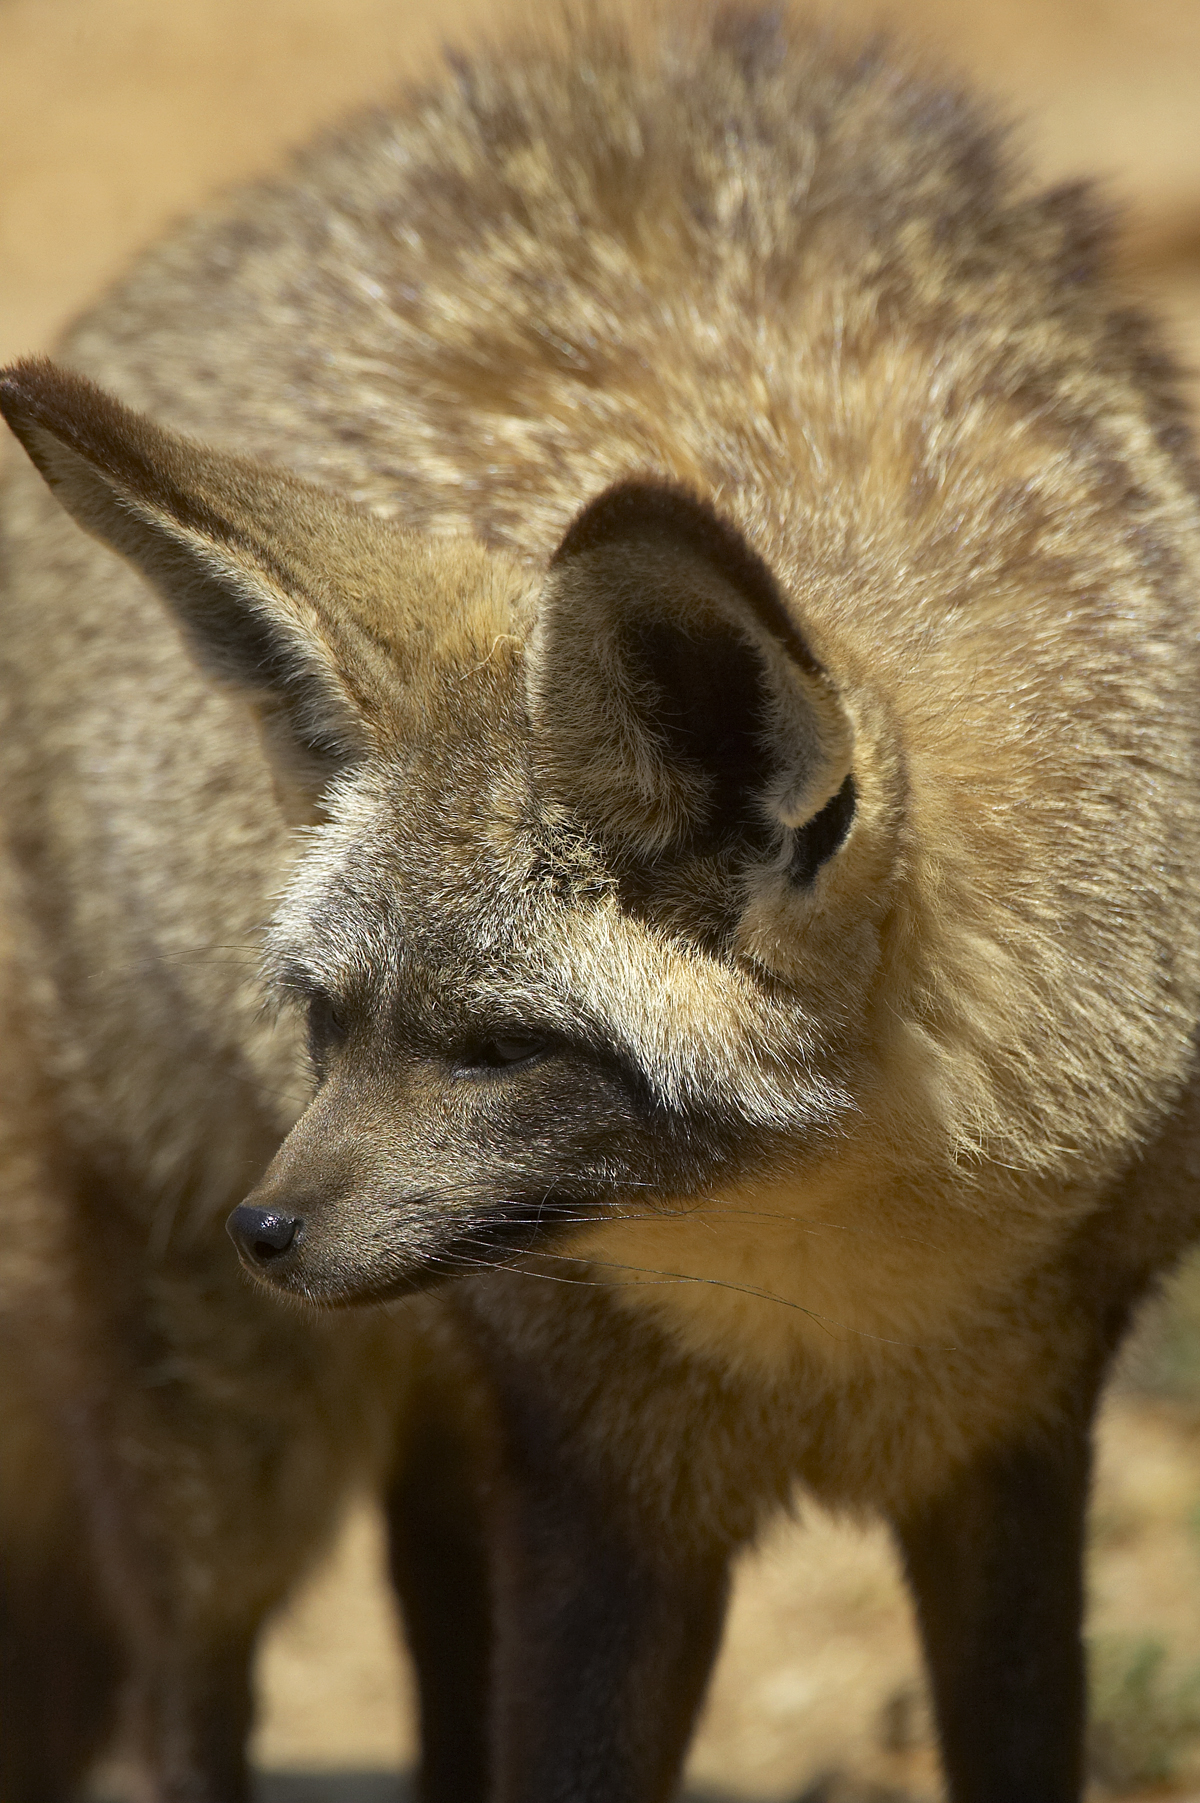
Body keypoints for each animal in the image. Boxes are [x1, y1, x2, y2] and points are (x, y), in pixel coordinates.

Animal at [2, 3, 1196, 1803]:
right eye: (326, 1020)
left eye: (499, 1047)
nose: (266, 1229)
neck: (835, 1306)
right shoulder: (597, 1493)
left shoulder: (1013, 1442)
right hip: (224, 1425)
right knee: (184, 1682)